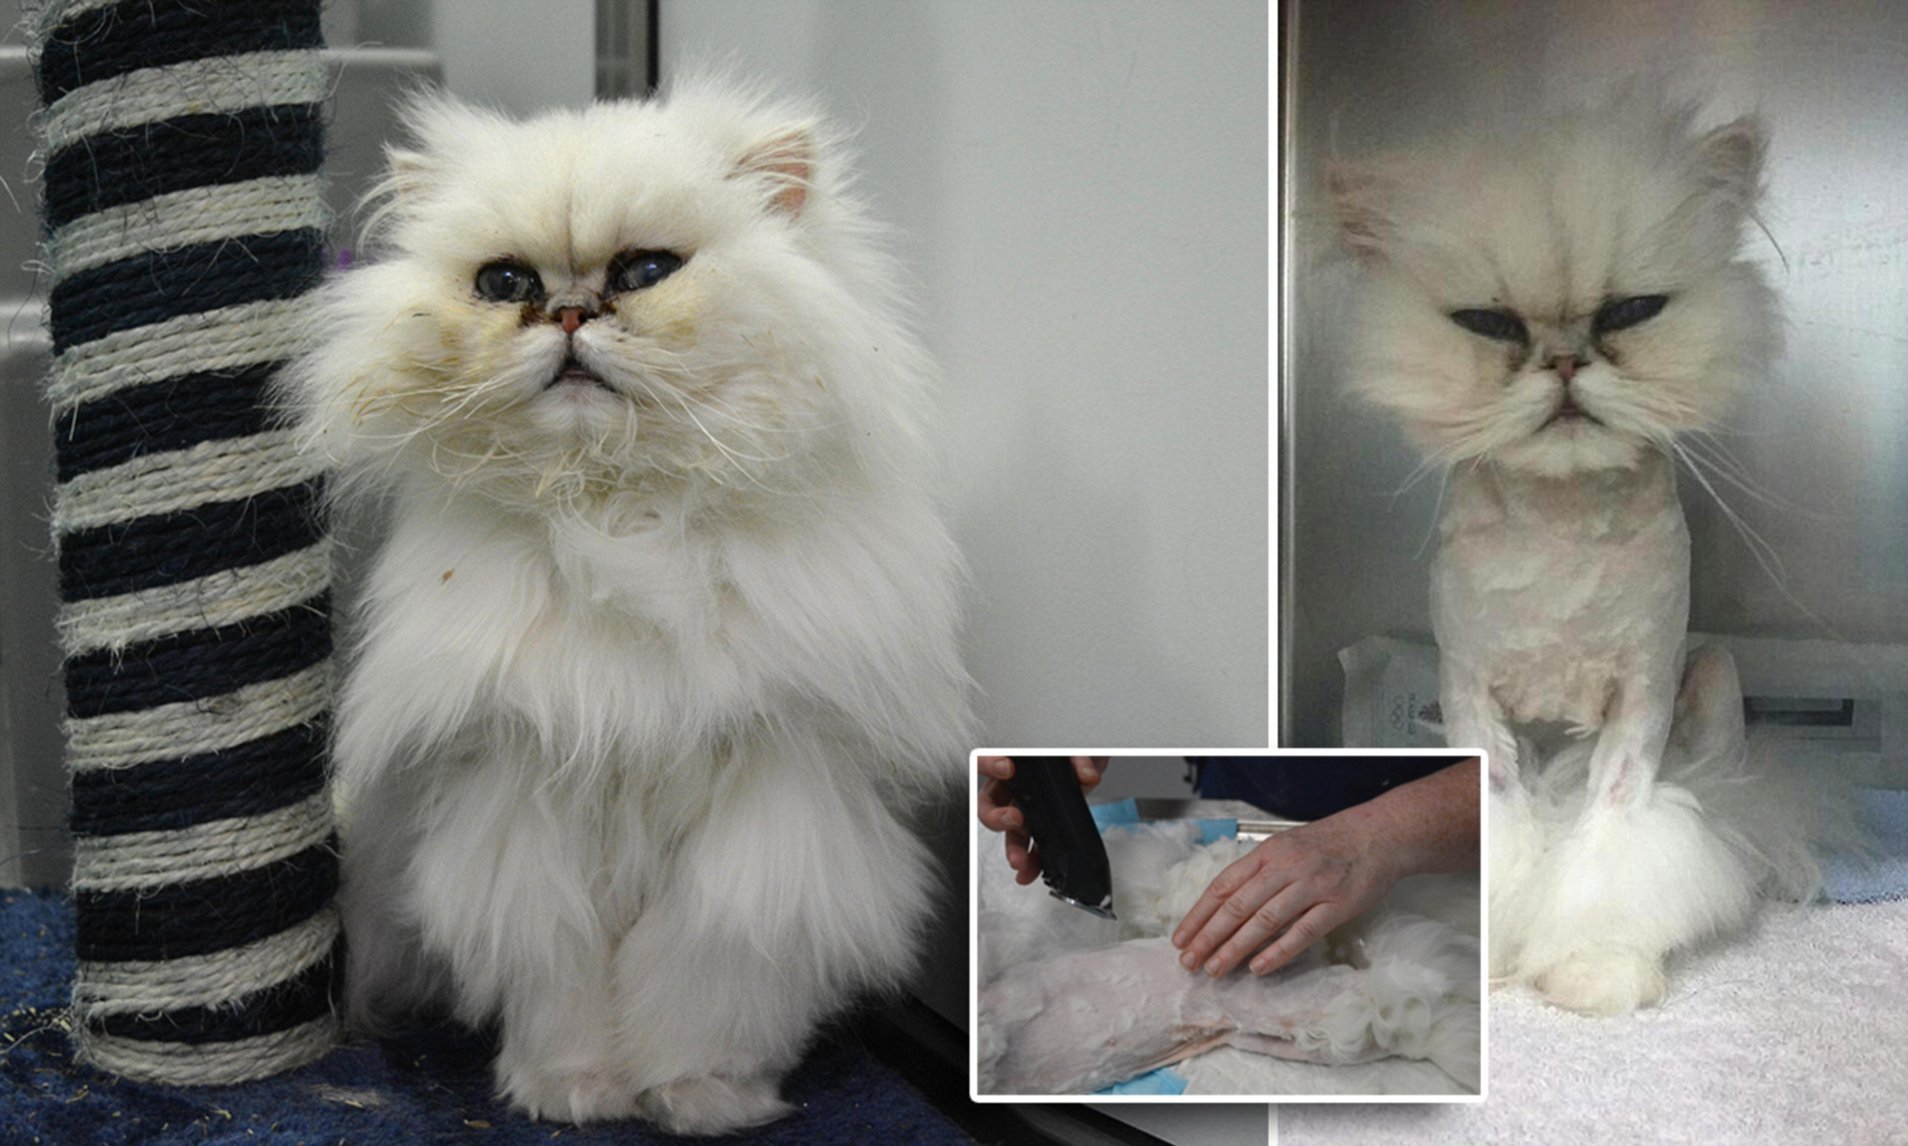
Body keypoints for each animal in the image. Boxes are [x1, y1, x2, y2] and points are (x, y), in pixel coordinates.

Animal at [277, 79, 973, 1134]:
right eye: (504, 284)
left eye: (646, 271)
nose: (567, 314)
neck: (616, 508)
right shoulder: (528, 805)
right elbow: (565, 988)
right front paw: (575, 1095)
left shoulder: (764, 819)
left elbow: (702, 987)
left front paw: (702, 1099)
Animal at [1329, 94, 1821, 1015]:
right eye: (1487, 323)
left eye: (1631, 312)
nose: (1562, 362)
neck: (1559, 520)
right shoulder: (1472, 695)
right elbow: (1501, 821)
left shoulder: (1641, 698)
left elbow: (1613, 841)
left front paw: (1592, 969)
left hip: (1716, 672)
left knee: (1731, 790)